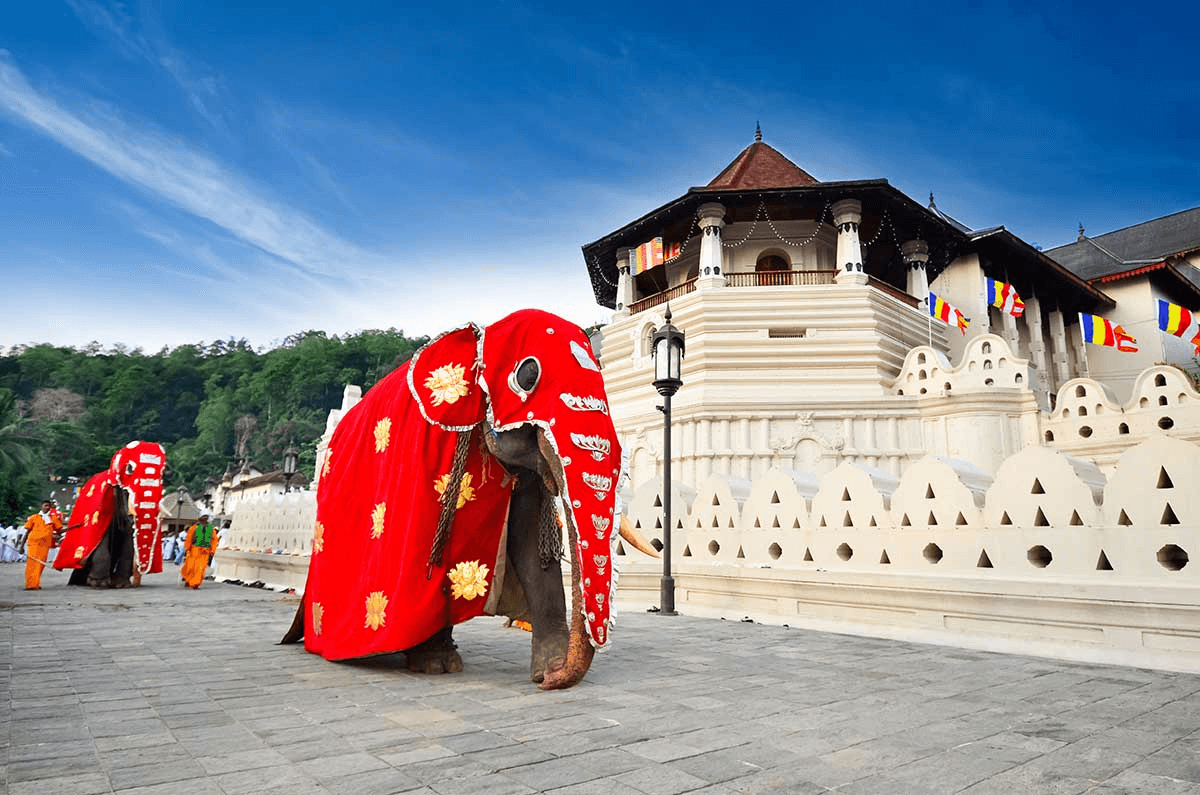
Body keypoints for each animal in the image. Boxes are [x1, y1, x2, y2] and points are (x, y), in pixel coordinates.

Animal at [55, 439, 166, 588]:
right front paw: (99, 583)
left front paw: (122, 585)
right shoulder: (103, 504)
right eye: (126, 492)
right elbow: (102, 537)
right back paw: (78, 582)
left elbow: (128, 540)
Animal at [282, 307, 657, 686]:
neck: (480, 337)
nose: (555, 677)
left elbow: (529, 541)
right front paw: (434, 663)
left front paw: (547, 670)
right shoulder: (428, 449)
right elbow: (427, 553)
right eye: (528, 375)